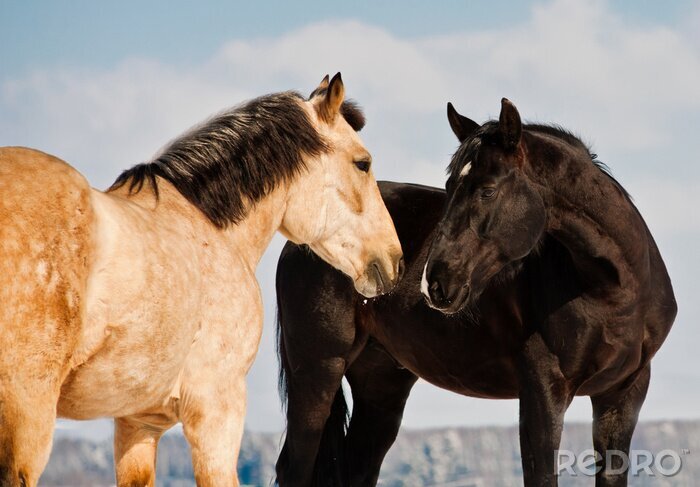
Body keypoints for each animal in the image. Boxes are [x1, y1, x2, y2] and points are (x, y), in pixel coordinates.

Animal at [275, 99, 676, 486]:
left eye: (487, 190)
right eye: (450, 188)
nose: (434, 283)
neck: (612, 292)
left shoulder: (623, 394)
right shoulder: (543, 392)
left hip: (381, 385)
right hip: (319, 371)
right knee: (296, 468)